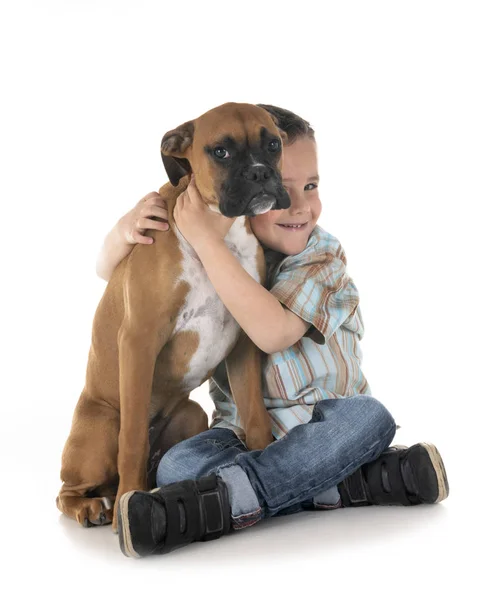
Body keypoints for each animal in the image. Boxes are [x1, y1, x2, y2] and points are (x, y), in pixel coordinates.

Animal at [56, 102, 292, 528]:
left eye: (272, 145)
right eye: (221, 152)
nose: (260, 173)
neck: (217, 234)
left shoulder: (245, 342)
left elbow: (255, 415)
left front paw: (263, 459)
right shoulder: (139, 339)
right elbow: (132, 439)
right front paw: (128, 504)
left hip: (191, 414)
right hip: (101, 430)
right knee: (69, 490)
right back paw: (95, 506)